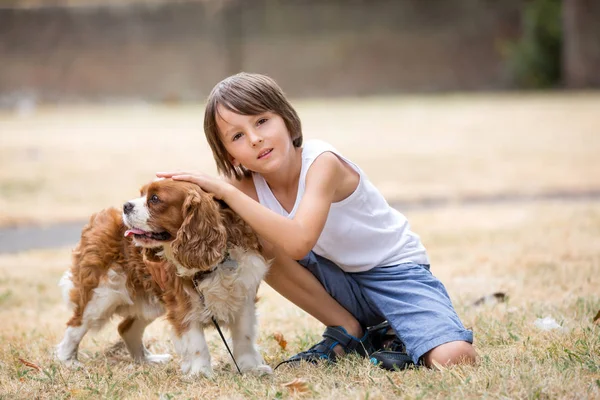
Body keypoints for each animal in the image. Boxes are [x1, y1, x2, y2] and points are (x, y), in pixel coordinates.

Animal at [56, 180, 272, 376]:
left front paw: (251, 368)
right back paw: (68, 361)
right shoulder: (184, 305)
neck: (216, 262)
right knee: (75, 325)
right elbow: (197, 343)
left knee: (126, 328)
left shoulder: (243, 299)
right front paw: (201, 373)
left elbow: (244, 338)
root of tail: (99, 219)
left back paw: (147, 360)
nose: (126, 206)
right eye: (141, 194)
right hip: (101, 296)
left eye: (154, 199)